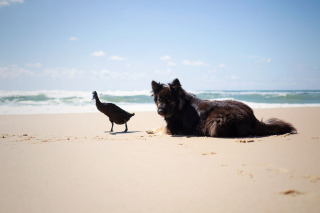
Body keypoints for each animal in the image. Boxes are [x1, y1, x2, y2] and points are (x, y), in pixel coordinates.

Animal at [149, 79, 296, 137]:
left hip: (215, 121)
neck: (179, 107)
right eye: (159, 100)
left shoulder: (174, 129)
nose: (160, 111)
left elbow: (161, 128)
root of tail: (253, 118)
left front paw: (150, 130)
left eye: (169, 100)